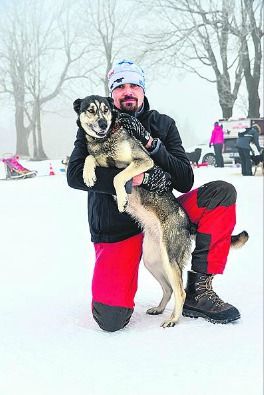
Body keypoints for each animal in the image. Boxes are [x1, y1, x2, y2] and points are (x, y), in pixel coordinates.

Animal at [73, 95, 249, 328]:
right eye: (91, 110)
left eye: (105, 110)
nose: (102, 124)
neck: (105, 140)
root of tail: (187, 224)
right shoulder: (99, 157)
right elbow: (89, 158)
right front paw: (88, 175)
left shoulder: (144, 161)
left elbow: (118, 176)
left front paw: (122, 200)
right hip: (153, 260)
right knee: (168, 288)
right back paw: (158, 309)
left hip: (170, 258)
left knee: (180, 291)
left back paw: (173, 319)